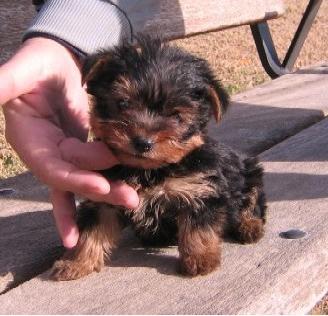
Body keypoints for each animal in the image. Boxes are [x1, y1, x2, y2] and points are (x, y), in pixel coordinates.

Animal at [51, 35, 266, 280]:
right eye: (123, 103)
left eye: (176, 116)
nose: (143, 142)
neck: (147, 170)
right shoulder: (104, 196)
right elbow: (91, 231)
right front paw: (77, 261)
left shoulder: (200, 190)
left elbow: (198, 228)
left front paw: (200, 259)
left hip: (250, 171)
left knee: (252, 200)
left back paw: (250, 225)